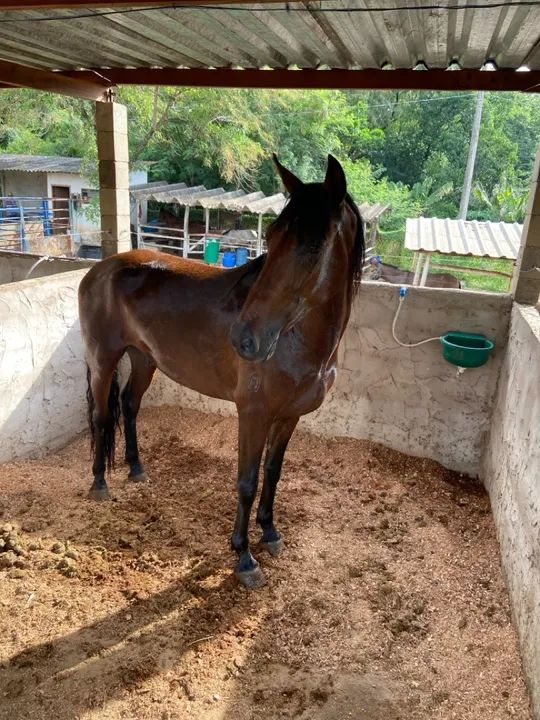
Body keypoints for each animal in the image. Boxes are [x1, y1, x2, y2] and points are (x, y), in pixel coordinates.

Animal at [78, 154, 364, 588]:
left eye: (313, 245)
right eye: (272, 237)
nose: (245, 339)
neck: (297, 339)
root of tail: (99, 269)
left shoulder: (289, 417)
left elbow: (273, 474)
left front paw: (270, 533)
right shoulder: (253, 414)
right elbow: (247, 482)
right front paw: (244, 557)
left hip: (145, 359)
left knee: (129, 405)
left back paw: (137, 469)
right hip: (103, 359)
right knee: (101, 415)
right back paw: (99, 483)